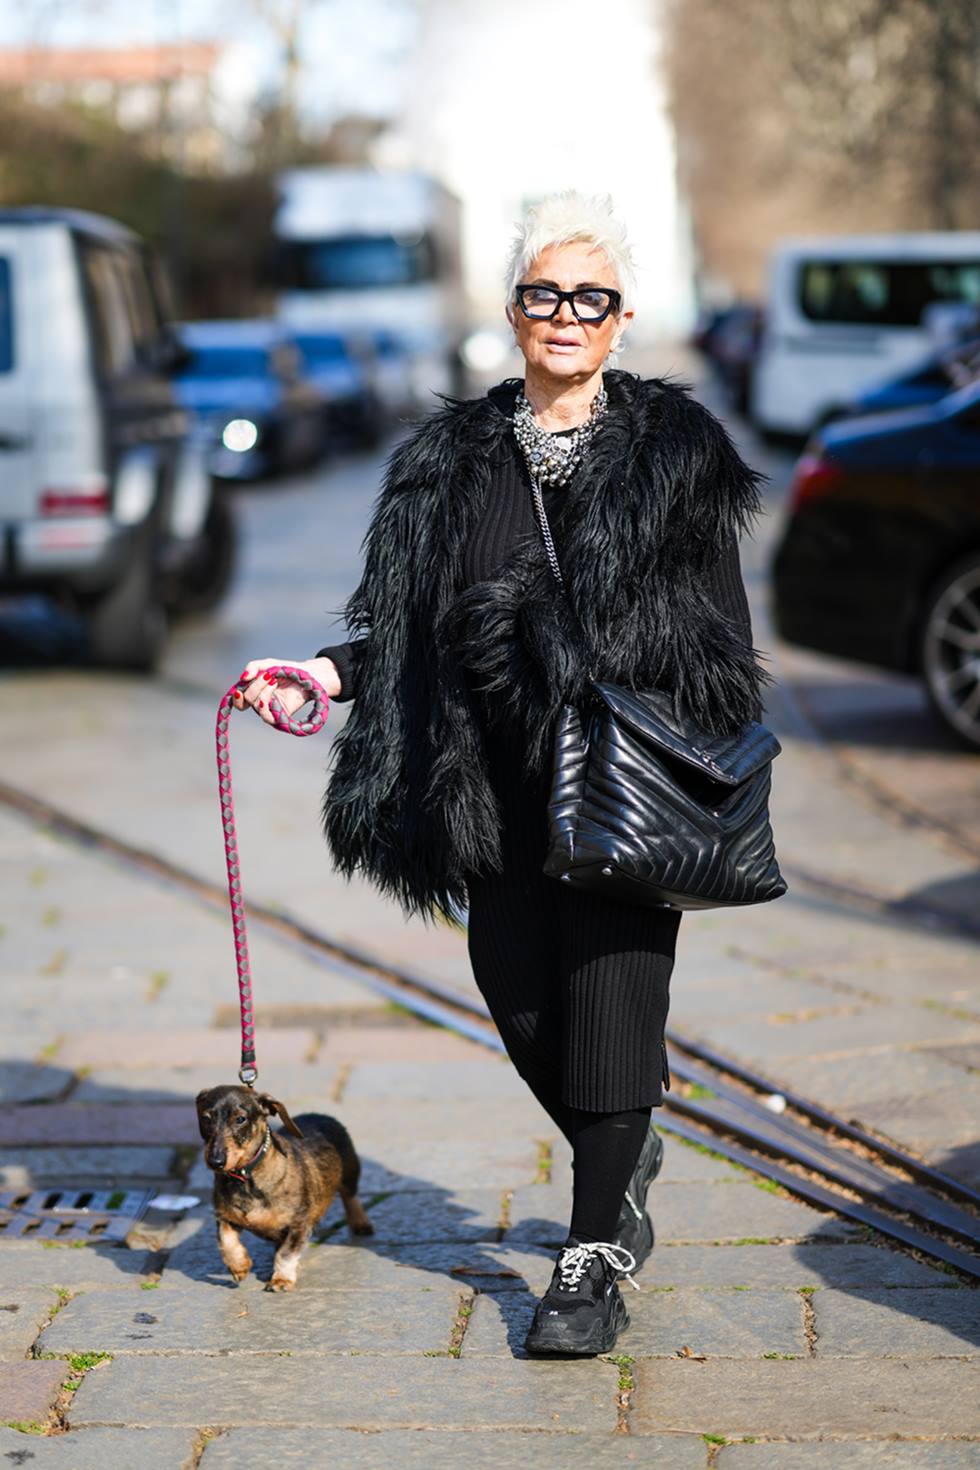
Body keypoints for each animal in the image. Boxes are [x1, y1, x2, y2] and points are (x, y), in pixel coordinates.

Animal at [196, 1087, 376, 1293]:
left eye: (240, 1119)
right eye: (206, 1118)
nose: (215, 1162)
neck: (245, 1177)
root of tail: (321, 1115)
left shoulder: (299, 1223)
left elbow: (286, 1254)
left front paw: (281, 1280)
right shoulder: (224, 1217)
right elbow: (226, 1241)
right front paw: (239, 1266)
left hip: (350, 1172)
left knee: (350, 1197)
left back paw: (360, 1223)